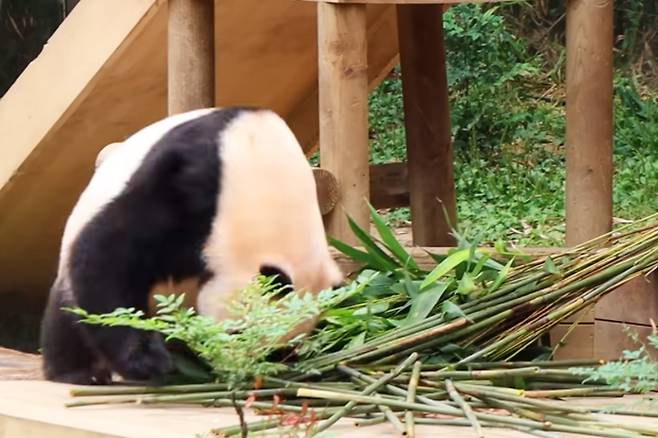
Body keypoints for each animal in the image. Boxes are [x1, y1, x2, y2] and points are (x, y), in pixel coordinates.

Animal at [40, 107, 344, 385]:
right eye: (240, 332)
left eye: (276, 352)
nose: (231, 367)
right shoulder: (190, 182)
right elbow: (112, 253)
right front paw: (145, 360)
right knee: (67, 313)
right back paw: (79, 372)